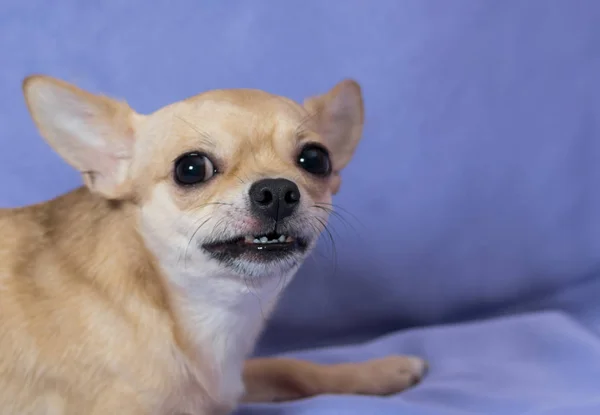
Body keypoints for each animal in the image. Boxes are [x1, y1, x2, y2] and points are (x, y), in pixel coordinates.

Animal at [0, 75, 424, 415]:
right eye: (191, 168)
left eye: (316, 159)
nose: (277, 190)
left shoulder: (230, 385)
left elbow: (290, 368)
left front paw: (381, 371)